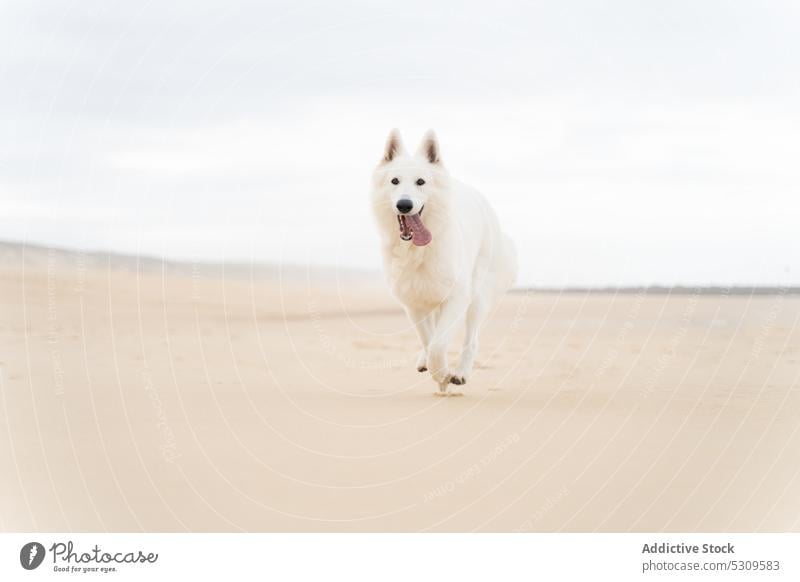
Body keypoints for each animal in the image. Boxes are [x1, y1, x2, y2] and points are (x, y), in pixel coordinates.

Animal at [370, 130, 520, 394]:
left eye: (421, 182)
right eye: (394, 181)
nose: (404, 205)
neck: (419, 250)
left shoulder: (457, 297)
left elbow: (438, 345)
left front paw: (443, 375)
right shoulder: (414, 303)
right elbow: (428, 339)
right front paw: (435, 371)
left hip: (477, 296)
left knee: (472, 339)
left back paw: (460, 373)